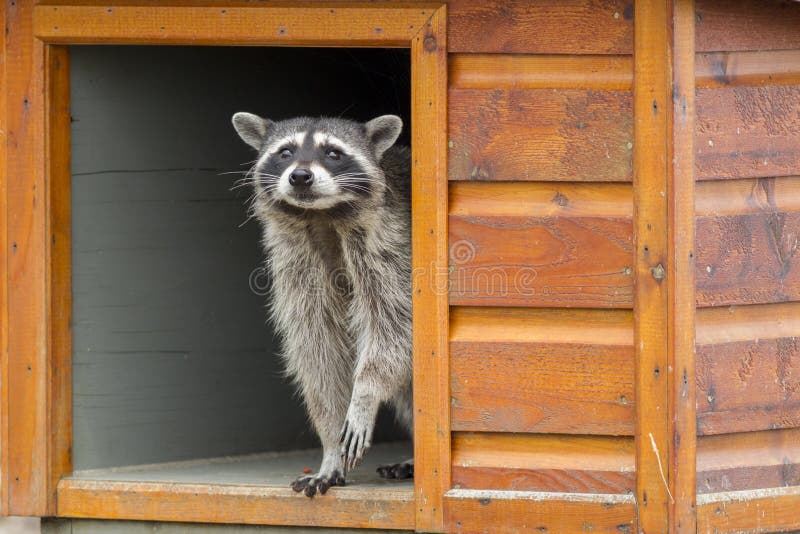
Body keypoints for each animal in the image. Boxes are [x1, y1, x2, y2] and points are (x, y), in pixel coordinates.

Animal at [231, 113, 412, 498]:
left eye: (333, 152)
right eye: (285, 152)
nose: (300, 176)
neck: (322, 214)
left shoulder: (392, 247)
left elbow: (394, 330)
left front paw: (364, 395)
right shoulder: (296, 262)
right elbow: (319, 353)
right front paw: (330, 449)